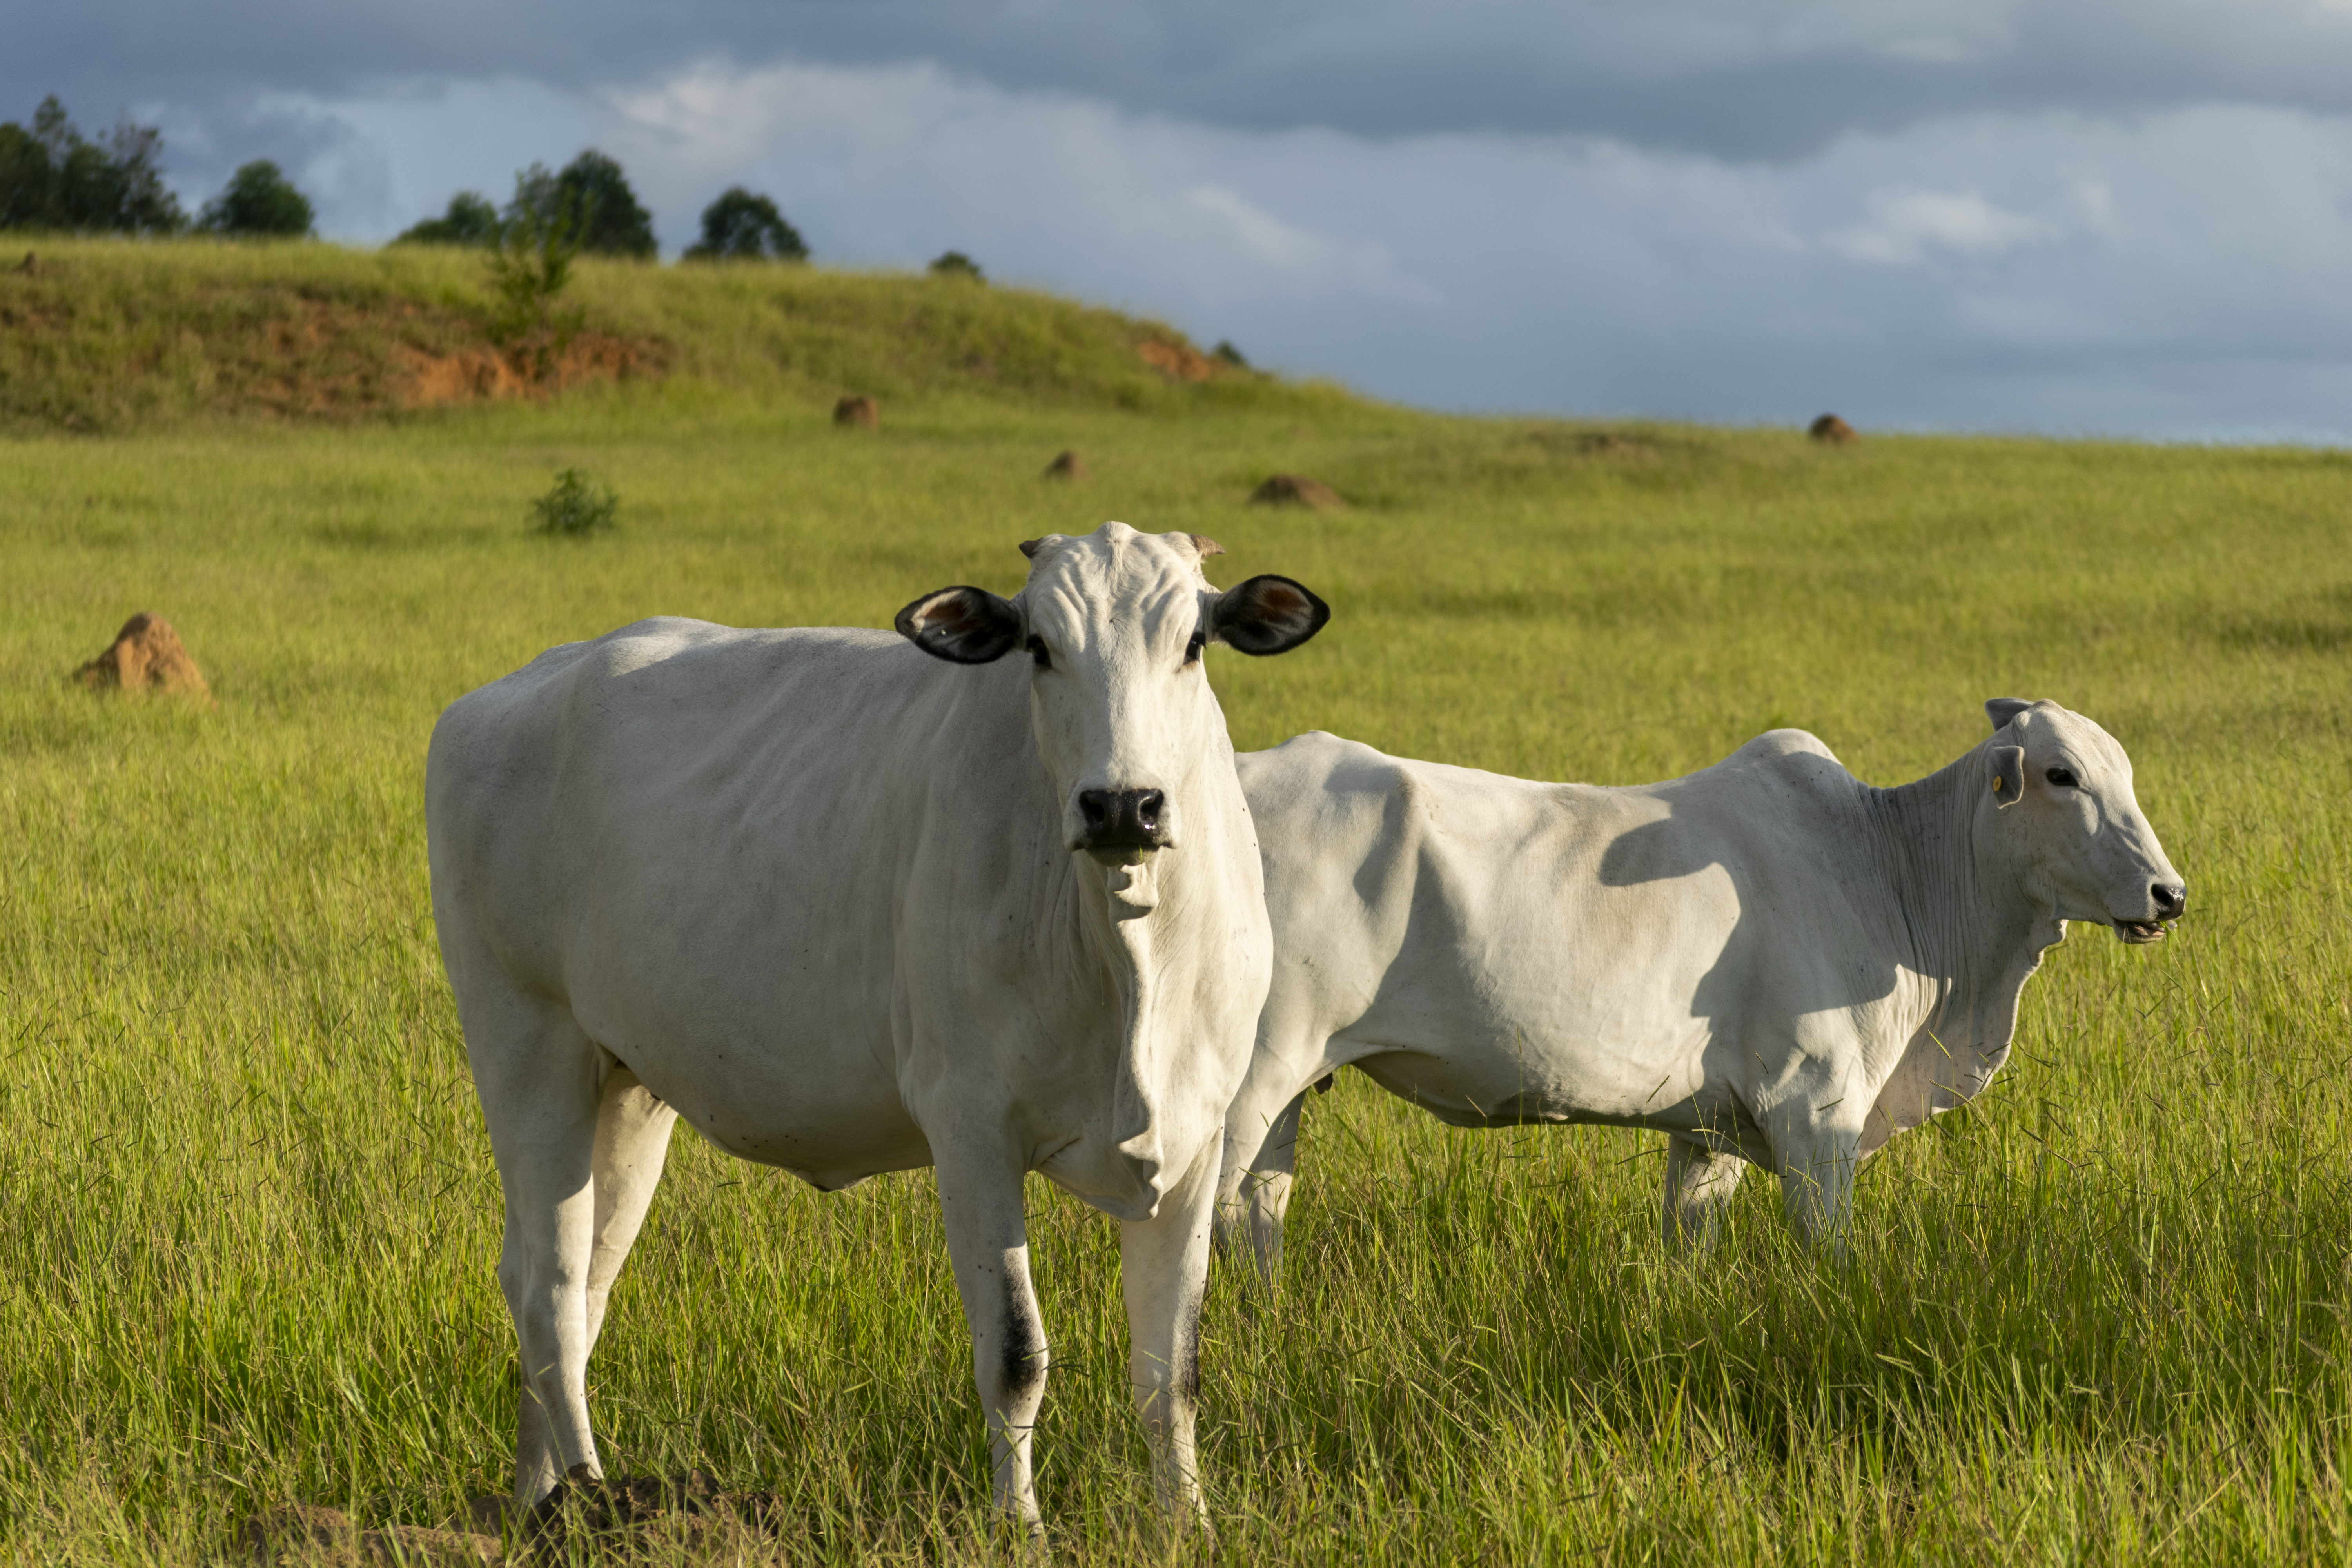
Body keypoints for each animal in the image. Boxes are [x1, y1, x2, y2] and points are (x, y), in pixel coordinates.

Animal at [426, 524, 1336, 1533]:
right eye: (1039, 645)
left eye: (1193, 642)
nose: (1122, 805)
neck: (1124, 947)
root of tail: (505, 694)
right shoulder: (971, 1130)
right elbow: (1016, 1355)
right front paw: (1019, 1526)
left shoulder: (1198, 1135)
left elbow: (1171, 1370)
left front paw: (1189, 1522)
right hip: (524, 1044)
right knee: (547, 1286)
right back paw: (593, 1500)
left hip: (625, 1086)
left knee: (578, 1284)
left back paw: (536, 1500)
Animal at [1223, 701, 2192, 1279]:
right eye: (2062, 775)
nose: (2168, 894)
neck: (1889, 867)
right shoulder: (1816, 1113)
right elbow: (1830, 1253)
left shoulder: (1709, 1127)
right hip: (1248, 1080)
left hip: (1290, 1090)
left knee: (1262, 1211)